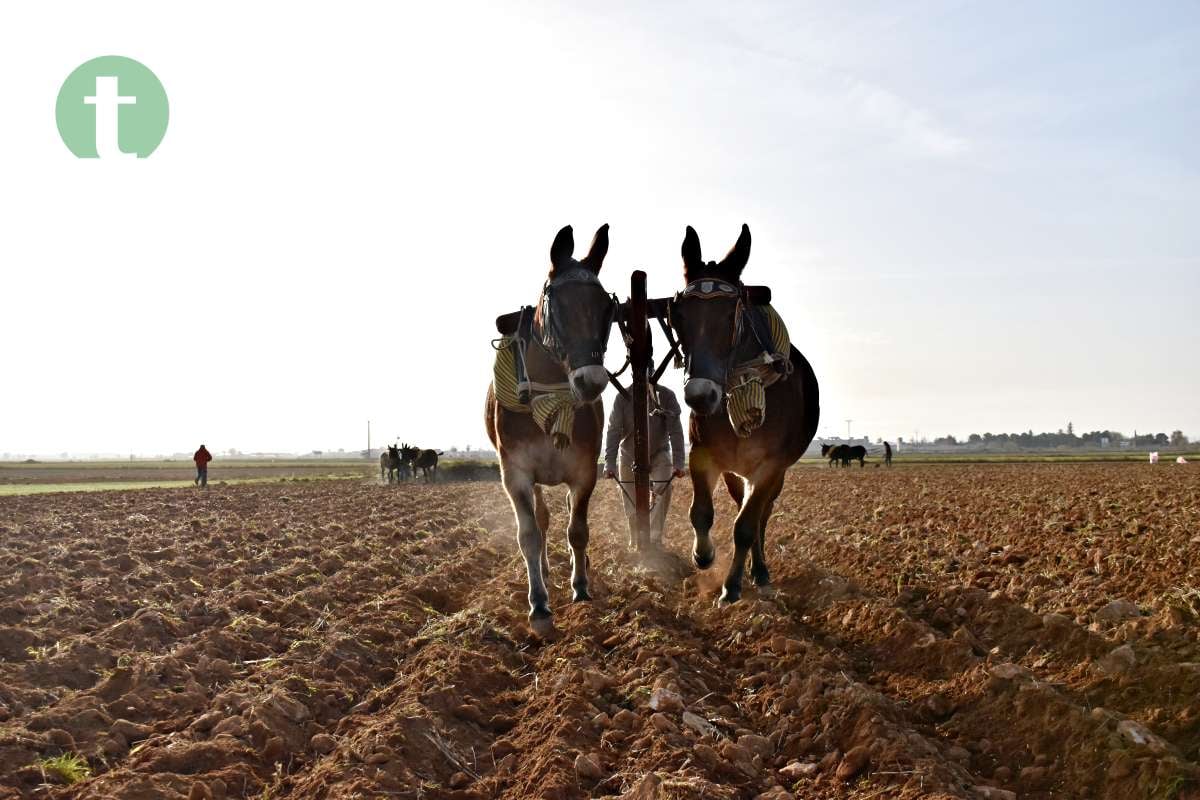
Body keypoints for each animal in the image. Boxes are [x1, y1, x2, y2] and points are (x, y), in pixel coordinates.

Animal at [484, 225, 619, 638]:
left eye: (606, 307)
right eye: (557, 306)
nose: (591, 381)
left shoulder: (584, 470)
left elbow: (578, 529)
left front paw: (581, 586)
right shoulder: (515, 473)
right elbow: (528, 534)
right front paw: (539, 605)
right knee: (541, 520)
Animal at [672, 221, 820, 604]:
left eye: (730, 315)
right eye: (679, 316)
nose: (699, 395)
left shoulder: (770, 465)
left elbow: (745, 526)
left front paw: (732, 586)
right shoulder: (703, 454)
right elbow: (701, 513)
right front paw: (703, 555)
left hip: (773, 474)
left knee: (761, 516)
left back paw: (760, 571)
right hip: (735, 472)